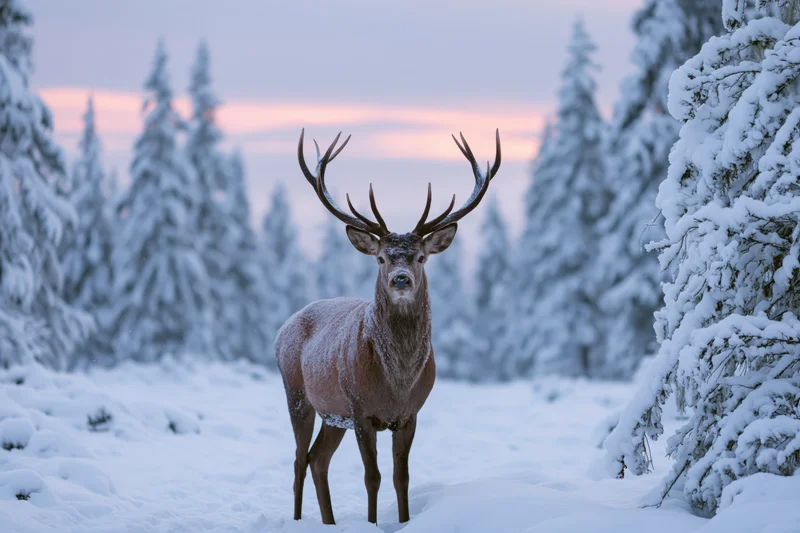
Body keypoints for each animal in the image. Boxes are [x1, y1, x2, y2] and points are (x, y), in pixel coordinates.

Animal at [275, 128, 501, 525]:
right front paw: (371, 523)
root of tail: (280, 331)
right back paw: (300, 521)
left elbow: (401, 477)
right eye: (381, 258)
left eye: (421, 257)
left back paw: (330, 522)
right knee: (300, 460)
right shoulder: (361, 410)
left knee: (318, 460)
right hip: (297, 393)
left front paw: (405, 520)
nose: (400, 279)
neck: (397, 382)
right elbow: (372, 477)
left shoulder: (410, 414)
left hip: (332, 413)